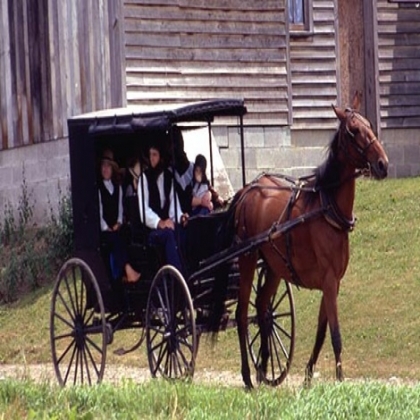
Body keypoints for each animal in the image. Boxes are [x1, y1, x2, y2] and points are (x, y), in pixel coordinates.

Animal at [215, 93, 388, 388]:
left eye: (368, 124)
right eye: (354, 130)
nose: (382, 164)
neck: (327, 209)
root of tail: (248, 190)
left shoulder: (333, 282)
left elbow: (321, 331)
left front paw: (308, 376)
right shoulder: (328, 281)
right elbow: (335, 334)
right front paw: (340, 379)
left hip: (273, 266)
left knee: (263, 308)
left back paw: (263, 369)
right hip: (248, 258)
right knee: (242, 314)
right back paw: (248, 376)